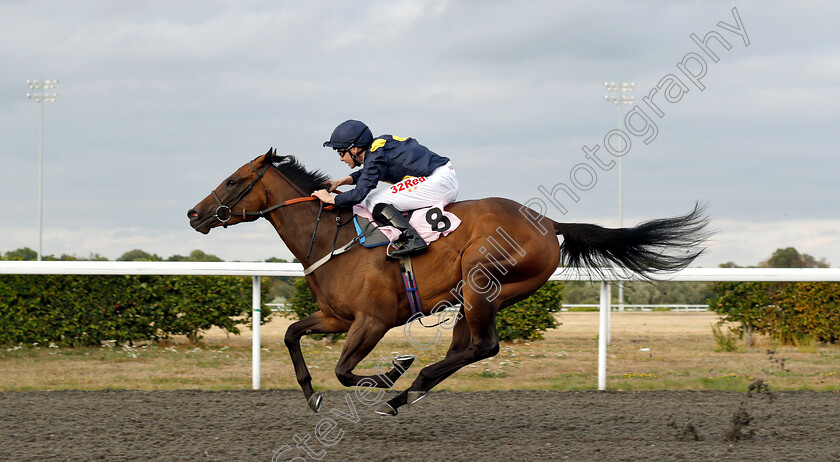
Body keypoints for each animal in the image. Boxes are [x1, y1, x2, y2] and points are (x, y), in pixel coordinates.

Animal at [189, 148, 708, 416]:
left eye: (233, 180)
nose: (194, 213)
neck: (333, 239)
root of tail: (548, 223)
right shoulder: (337, 317)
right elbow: (292, 334)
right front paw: (311, 393)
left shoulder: (373, 321)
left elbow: (345, 370)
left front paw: (392, 369)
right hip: (479, 296)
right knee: (470, 348)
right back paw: (410, 391)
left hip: (483, 281)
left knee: (483, 346)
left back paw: (406, 386)